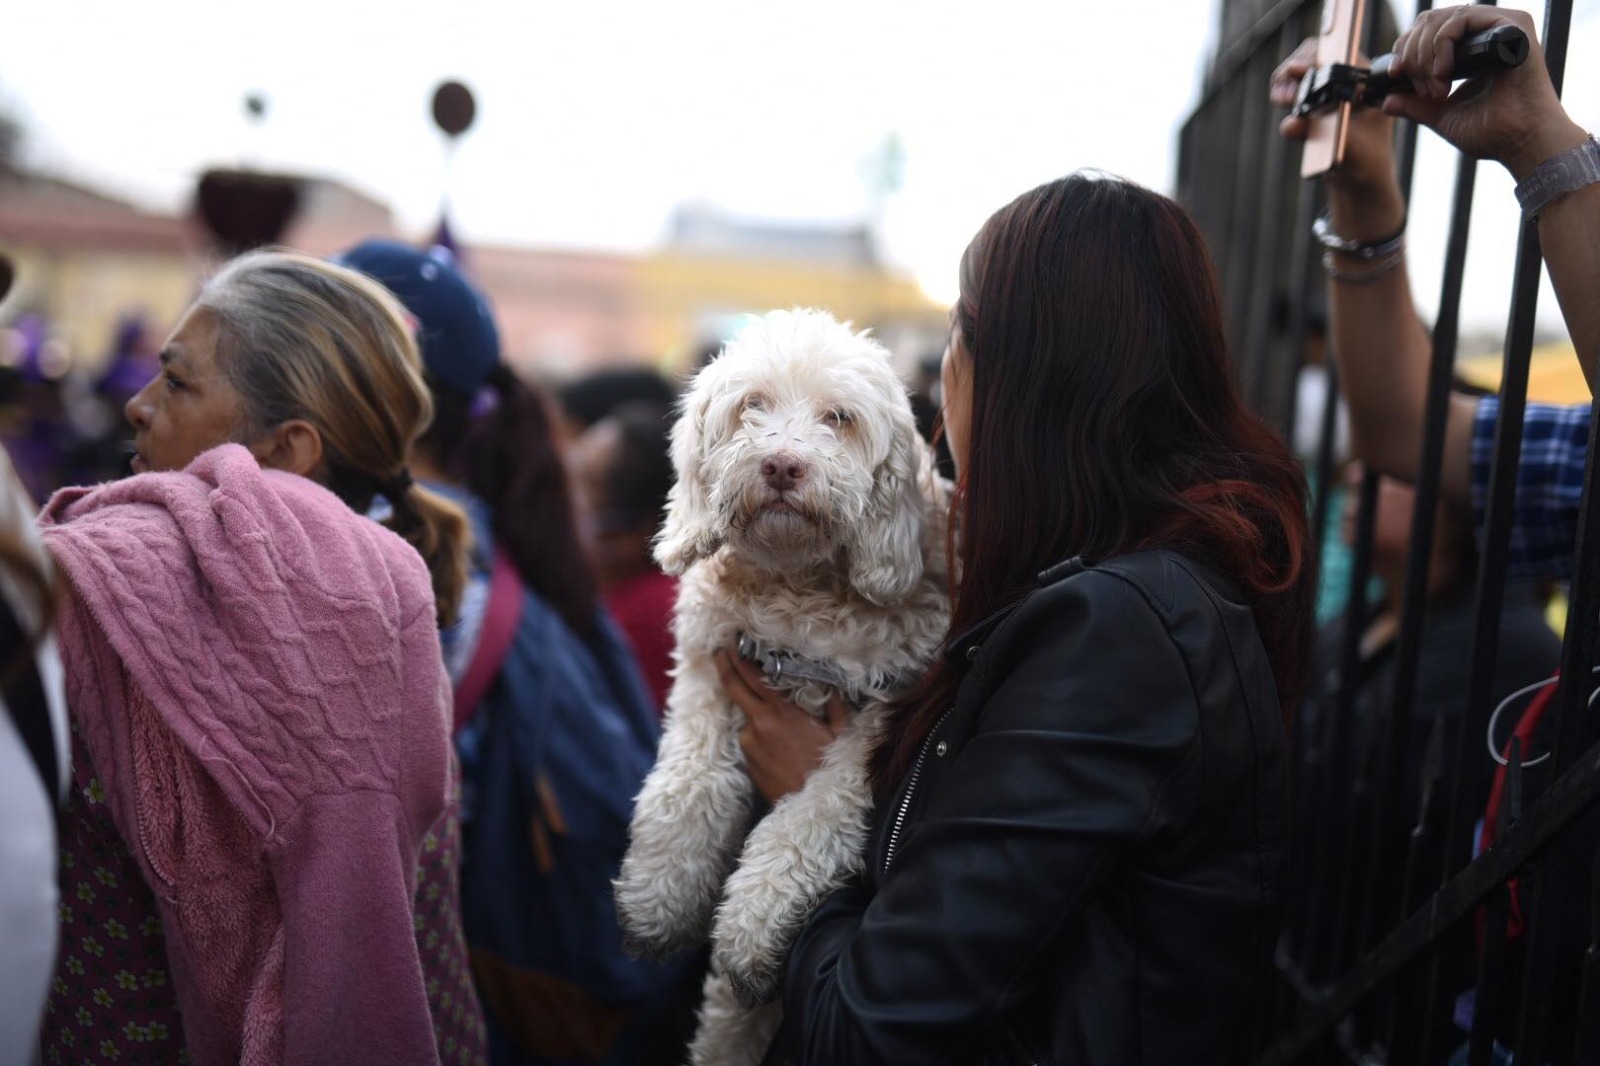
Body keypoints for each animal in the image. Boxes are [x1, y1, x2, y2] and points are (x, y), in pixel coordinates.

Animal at [617, 302, 947, 1056]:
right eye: (753, 406)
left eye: (838, 418)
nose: (782, 465)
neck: (799, 591)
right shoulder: (709, 671)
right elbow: (687, 784)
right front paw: (659, 895)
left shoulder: (883, 715)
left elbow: (813, 813)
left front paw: (751, 926)